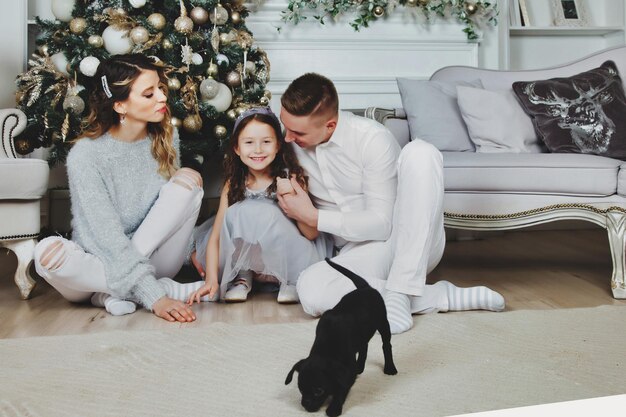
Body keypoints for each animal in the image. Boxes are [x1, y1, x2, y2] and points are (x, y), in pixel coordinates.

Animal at [286, 256, 398, 416]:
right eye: (301, 389)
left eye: (319, 391)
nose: (306, 405)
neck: (326, 348)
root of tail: (365, 287)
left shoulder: (347, 372)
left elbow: (341, 388)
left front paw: (333, 408)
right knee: (364, 346)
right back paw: (360, 367)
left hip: (383, 322)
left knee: (386, 345)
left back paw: (389, 367)